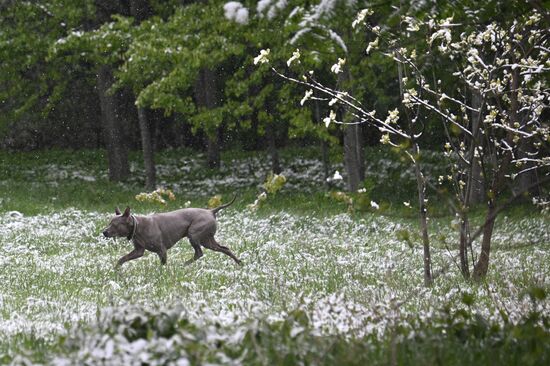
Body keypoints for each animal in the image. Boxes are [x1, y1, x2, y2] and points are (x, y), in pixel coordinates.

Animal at [103, 197, 242, 266]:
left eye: (114, 225)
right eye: (109, 223)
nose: (104, 232)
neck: (138, 226)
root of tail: (211, 211)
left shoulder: (162, 251)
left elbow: (162, 265)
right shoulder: (138, 251)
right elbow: (122, 259)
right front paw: (116, 269)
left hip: (194, 235)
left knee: (199, 253)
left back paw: (184, 265)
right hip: (207, 240)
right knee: (224, 248)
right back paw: (239, 263)